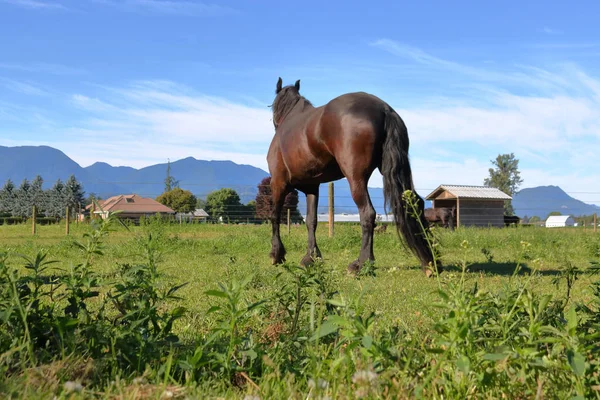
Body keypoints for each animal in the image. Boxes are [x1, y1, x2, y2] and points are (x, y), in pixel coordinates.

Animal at [266, 78, 436, 276]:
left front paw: (276, 254)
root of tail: (383, 108)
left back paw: (361, 264)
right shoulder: (312, 188)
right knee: (415, 204)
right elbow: (311, 221)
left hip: (355, 178)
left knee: (368, 213)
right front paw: (311, 258)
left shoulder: (278, 182)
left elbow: (275, 216)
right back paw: (430, 263)